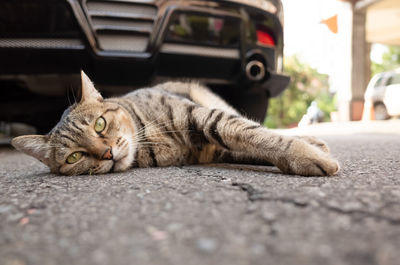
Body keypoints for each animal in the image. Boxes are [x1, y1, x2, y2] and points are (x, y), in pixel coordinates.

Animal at [10, 71, 340, 176]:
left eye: (100, 125)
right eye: (74, 157)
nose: (106, 153)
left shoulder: (204, 117)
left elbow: (251, 132)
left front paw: (305, 153)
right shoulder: (214, 150)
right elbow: (250, 145)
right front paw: (306, 155)